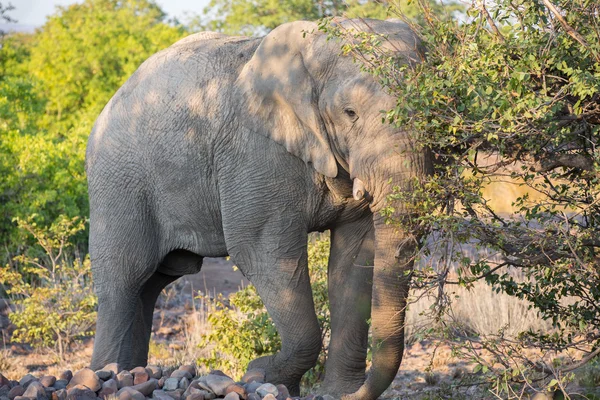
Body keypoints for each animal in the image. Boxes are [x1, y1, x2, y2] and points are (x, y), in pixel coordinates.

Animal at [85, 17, 432, 398]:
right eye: (350, 113)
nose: (352, 392)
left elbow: (354, 261)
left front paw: (336, 393)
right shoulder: (253, 151)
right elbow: (264, 251)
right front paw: (260, 373)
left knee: (149, 286)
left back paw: (132, 373)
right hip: (118, 181)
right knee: (124, 279)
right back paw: (108, 374)